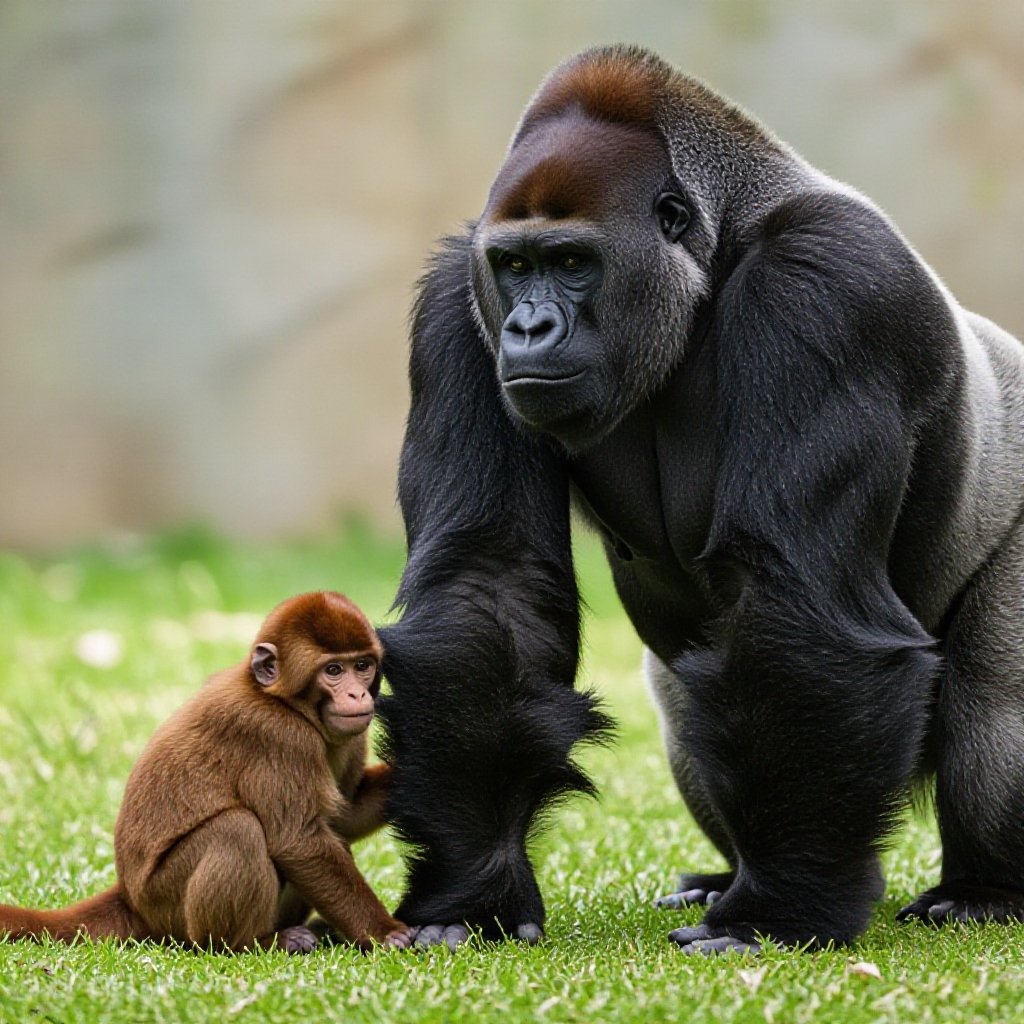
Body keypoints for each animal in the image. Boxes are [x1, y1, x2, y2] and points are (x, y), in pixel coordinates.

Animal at [0, 591, 411, 954]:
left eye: (362, 666)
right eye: (333, 670)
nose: (358, 695)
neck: (282, 701)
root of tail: (131, 898)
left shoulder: (353, 735)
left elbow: (342, 819)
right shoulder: (277, 736)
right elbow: (300, 840)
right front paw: (384, 932)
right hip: (166, 904)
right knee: (236, 830)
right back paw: (252, 943)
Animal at [375, 44, 1024, 955]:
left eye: (572, 262)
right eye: (515, 266)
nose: (528, 329)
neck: (716, 252)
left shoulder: (829, 283)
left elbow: (796, 595)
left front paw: (777, 914)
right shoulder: (457, 301)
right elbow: (487, 583)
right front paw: (474, 888)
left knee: (996, 707)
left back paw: (986, 890)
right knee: (689, 704)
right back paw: (726, 872)